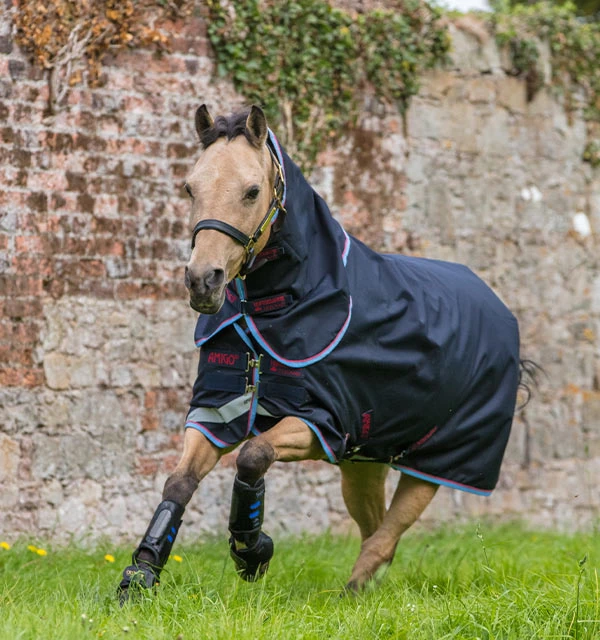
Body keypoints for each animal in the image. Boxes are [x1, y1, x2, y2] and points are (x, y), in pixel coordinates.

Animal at [118, 104, 526, 601]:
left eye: (252, 191)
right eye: (189, 187)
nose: (202, 280)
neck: (279, 309)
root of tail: (498, 307)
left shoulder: (321, 423)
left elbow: (253, 455)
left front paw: (252, 550)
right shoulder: (217, 412)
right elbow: (179, 482)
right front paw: (141, 574)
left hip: (439, 461)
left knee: (388, 534)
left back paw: (352, 592)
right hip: (365, 463)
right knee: (374, 530)